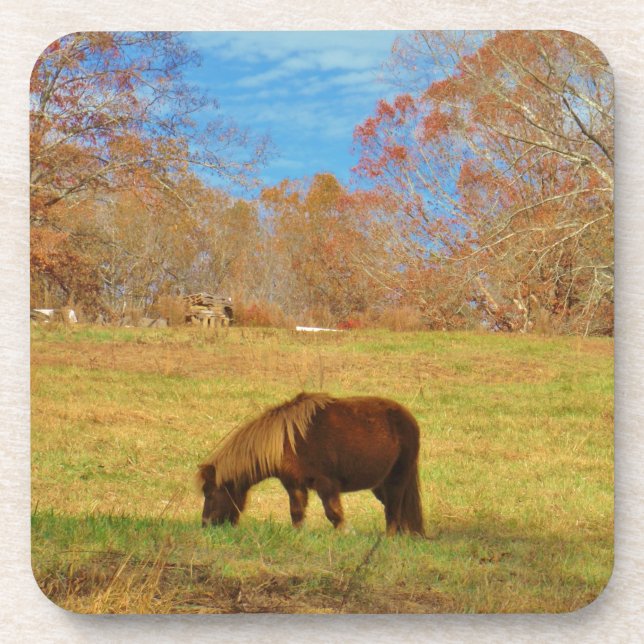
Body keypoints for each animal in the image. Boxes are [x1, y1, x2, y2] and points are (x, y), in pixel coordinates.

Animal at [197, 392, 425, 536]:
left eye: (210, 493)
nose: (206, 525)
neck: (286, 441)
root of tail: (409, 419)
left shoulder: (326, 484)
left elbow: (333, 513)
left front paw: (345, 533)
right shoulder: (294, 485)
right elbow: (297, 513)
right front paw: (299, 536)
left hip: (397, 480)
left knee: (393, 512)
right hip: (379, 485)